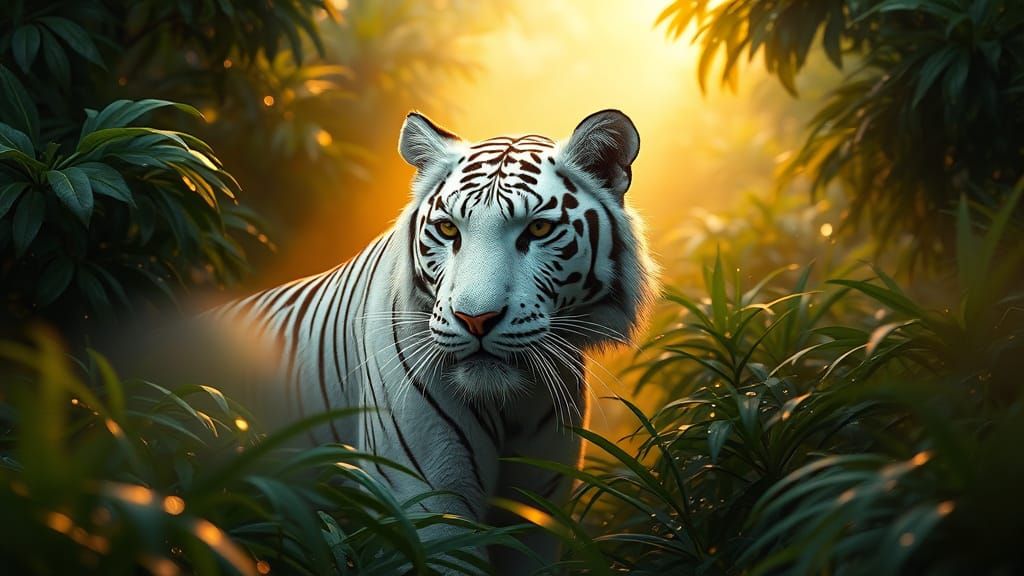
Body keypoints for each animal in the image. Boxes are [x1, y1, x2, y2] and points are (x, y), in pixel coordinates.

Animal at [213, 109, 657, 573]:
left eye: (537, 229)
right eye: (447, 229)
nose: (475, 319)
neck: (512, 404)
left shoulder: (539, 508)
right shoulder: (427, 500)